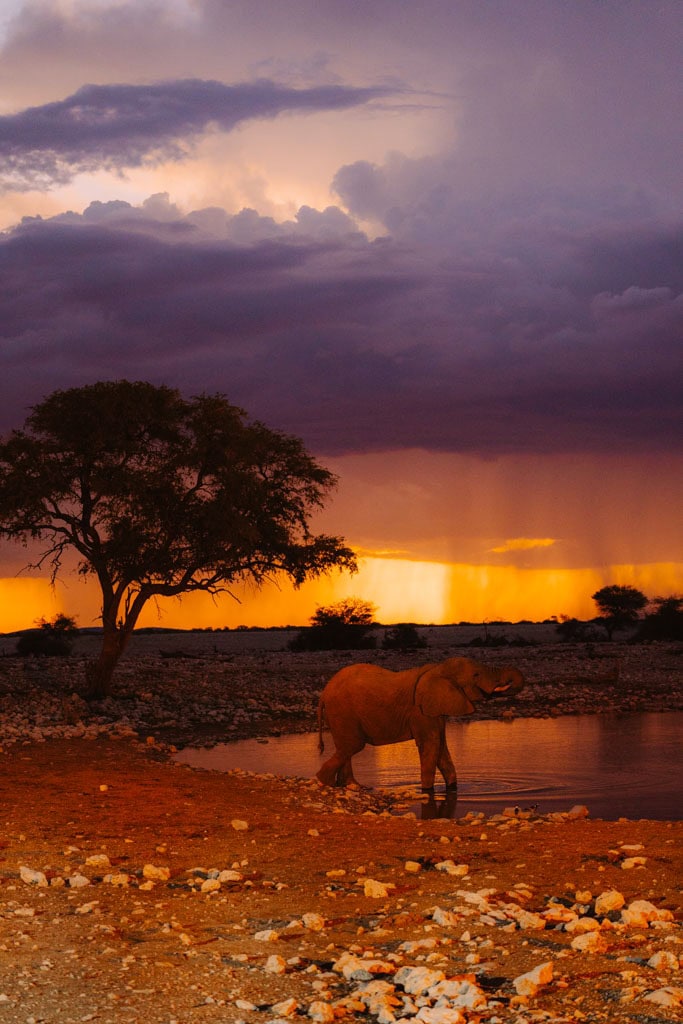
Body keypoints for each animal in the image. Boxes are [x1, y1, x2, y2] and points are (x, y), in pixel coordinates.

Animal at [317, 659, 528, 794]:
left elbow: (441, 747)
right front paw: (427, 790)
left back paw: (352, 786)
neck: (438, 669)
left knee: (346, 748)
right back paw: (324, 782)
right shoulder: (420, 711)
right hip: (342, 712)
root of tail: (324, 693)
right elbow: (431, 746)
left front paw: (452, 789)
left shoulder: (435, 710)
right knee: (352, 746)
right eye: (476, 675)